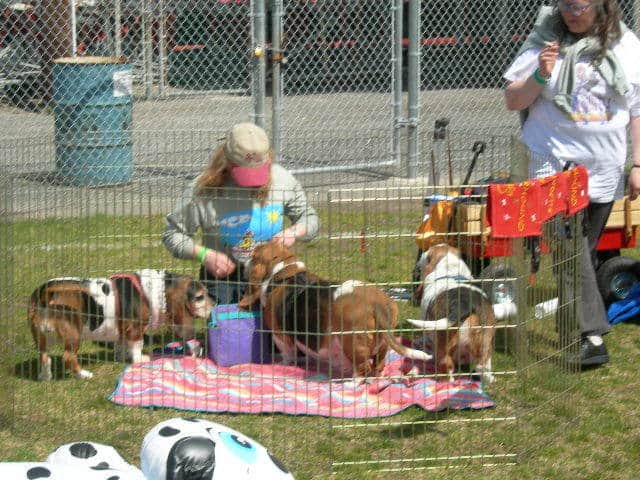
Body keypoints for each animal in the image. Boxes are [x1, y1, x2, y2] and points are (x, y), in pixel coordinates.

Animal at [28, 268, 212, 380]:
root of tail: (44, 293)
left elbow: (122, 345)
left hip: (41, 337)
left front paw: (121, 357)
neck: (153, 290)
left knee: (44, 356)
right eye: (199, 297)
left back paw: (45, 377)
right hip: (74, 335)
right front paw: (140, 359)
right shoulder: (136, 329)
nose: (215, 306)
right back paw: (83, 374)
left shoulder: (123, 330)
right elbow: (137, 345)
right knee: (68, 357)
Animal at [238, 244, 432, 382]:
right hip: (382, 345)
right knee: (378, 365)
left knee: (363, 370)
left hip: (351, 343)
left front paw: (283, 364)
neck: (284, 272)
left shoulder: (280, 335)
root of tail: (376, 304)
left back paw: (350, 385)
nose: (242, 263)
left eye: (253, 256)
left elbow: (287, 353)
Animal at [410, 244, 496, 382]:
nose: (421, 255)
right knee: (482, 367)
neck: (450, 270)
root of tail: (463, 304)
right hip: (486, 342)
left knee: (447, 368)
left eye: (427, 255)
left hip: (443, 348)